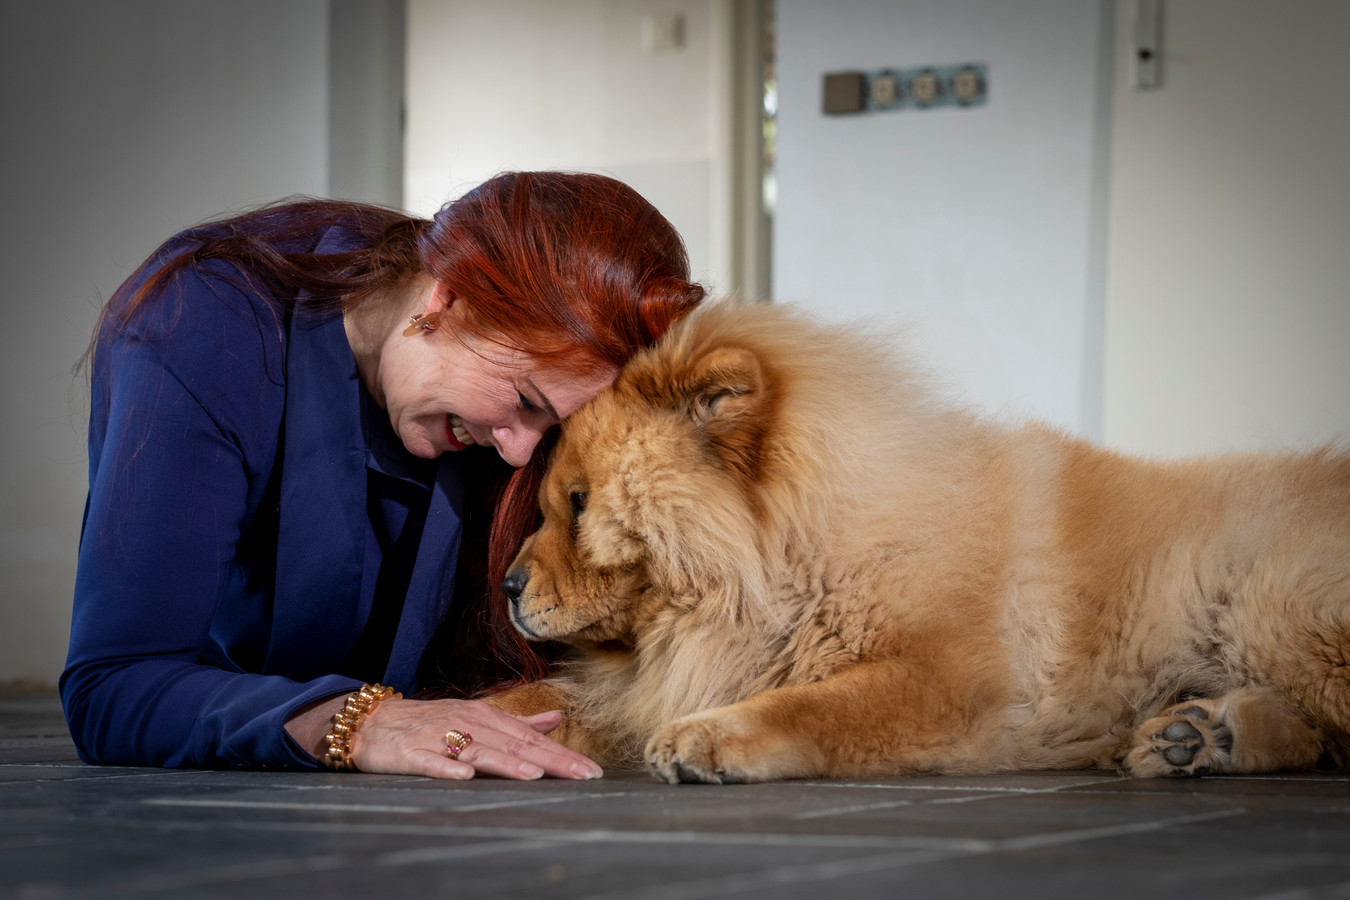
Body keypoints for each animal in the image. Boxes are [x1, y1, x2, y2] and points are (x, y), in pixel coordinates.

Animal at [488, 302, 1350, 782]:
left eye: (576, 503)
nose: (506, 586)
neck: (794, 556)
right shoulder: (664, 674)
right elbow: (534, 701)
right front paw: (473, 721)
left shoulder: (944, 681)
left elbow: (818, 705)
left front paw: (711, 734)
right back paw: (1199, 736)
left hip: (1272, 608)